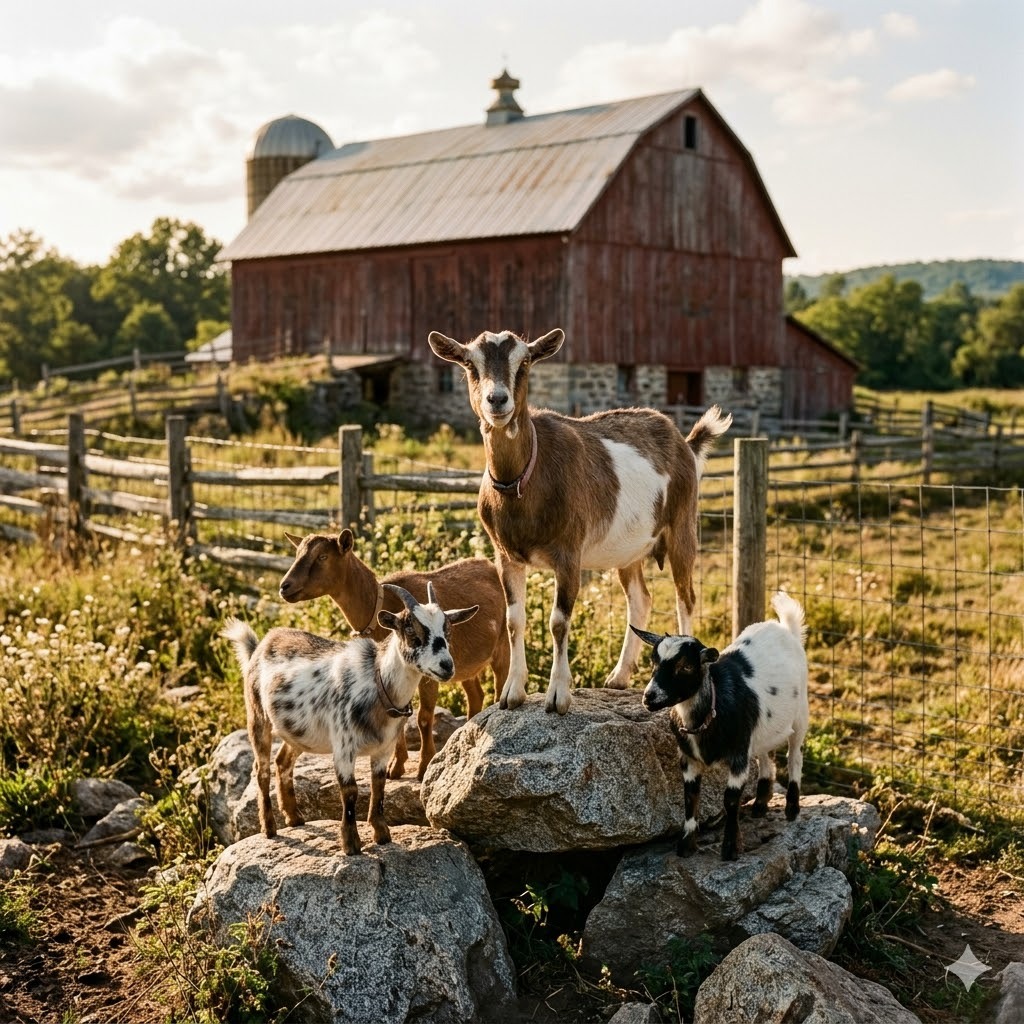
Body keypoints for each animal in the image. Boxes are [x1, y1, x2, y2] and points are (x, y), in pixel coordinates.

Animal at [222, 583, 478, 855]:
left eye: (448, 630)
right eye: (410, 629)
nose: (446, 666)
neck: (378, 682)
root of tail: (261, 644)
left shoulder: (384, 749)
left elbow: (378, 786)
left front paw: (382, 834)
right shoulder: (343, 747)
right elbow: (351, 791)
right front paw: (351, 844)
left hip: (298, 732)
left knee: (283, 762)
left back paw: (294, 817)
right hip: (257, 716)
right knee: (261, 770)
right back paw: (269, 828)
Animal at [278, 529, 509, 779]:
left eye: (322, 556)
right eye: (297, 552)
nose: (285, 587)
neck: (380, 605)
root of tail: (490, 565)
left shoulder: (428, 673)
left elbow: (424, 717)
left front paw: (423, 767)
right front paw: (395, 767)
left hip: (502, 645)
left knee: (499, 685)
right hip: (465, 664)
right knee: (475, 694)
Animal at [428, 327, 731, 715]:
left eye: (524, 363)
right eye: (469, 364)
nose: (497, 400)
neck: (525, 481)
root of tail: (686, 443)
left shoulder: (568, 553)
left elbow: (558, 621)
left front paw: (558, 695)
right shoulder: (505, 555)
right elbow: (513, 620)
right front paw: (512, 692)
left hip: (682, 526)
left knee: (686, 597)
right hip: (629, 549)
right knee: (641, 599)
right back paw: (618, 676)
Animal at [633, 590, 809, 861]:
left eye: (686, 666)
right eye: (653, 662)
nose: (649, 697)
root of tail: (784, 627)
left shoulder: (738, 757)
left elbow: (730, 801)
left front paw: (730, 848)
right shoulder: (688, 759)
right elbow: (690, 797)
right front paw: (686, 845)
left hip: (801, 714)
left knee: (794, 757)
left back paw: (792, 808)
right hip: (762, 728)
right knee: (765, 754)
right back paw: (761, 804)